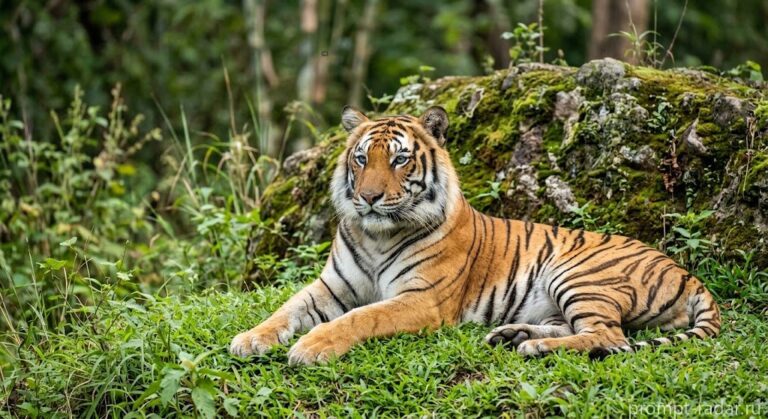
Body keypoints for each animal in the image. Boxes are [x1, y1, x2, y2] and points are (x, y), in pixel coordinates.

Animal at [230, 105, 721, 365]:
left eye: (400, 160)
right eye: (362, 158)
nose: (368, 198)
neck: (376, 235)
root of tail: (689, 275)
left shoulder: (421, 299)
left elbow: (361, 317)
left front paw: (312, 346)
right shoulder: (330, 286)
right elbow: (285, 309)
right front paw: (250, 338)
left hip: (579, 275)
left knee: (609, 337)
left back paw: (533, 346)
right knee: (584, 329)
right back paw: (512, 335)